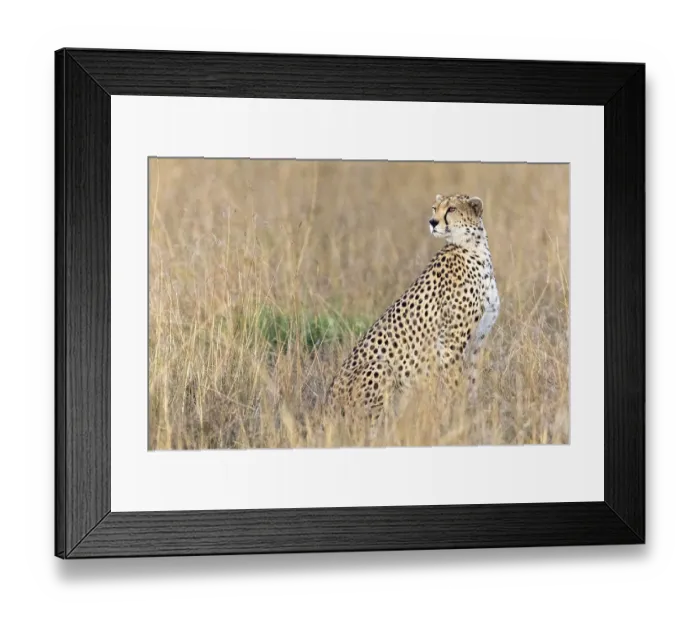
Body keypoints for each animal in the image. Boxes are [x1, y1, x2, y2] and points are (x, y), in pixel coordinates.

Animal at [326, 193, 500, 423]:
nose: (432, 222)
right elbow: (454, 382)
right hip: (381, 367)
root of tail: (326, 403)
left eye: (452, 209)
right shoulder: (450, 340)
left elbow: (471, 380)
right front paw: (456, 415)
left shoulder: (476, 341)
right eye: (435, 208)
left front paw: (472, 413)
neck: (474, 248)